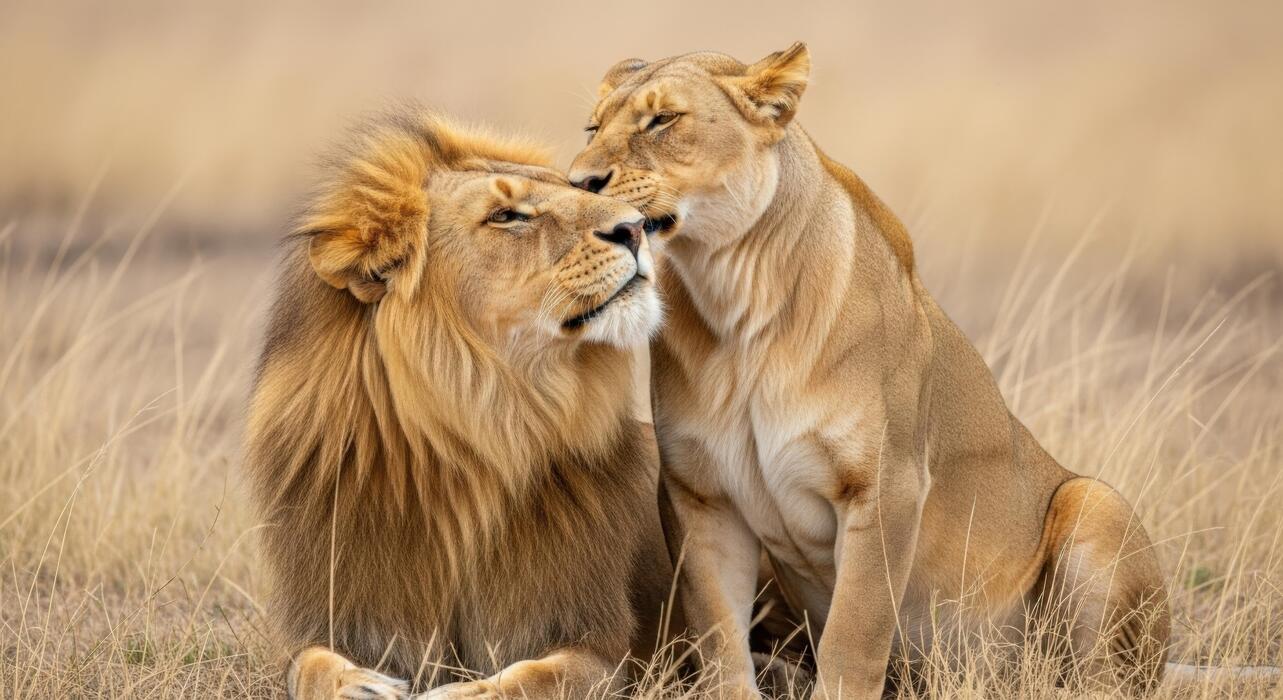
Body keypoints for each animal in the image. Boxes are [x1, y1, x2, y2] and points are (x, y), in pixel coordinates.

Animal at [244, 108, 673, 699]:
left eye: (575, 188)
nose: (636, 227)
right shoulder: (334, 615)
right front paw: (360, 686)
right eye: (506, 216)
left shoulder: (603, 648)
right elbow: (309, 665)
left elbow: (534, 677)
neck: (473, 436)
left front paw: (457, 693)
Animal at [569, 44, 1171, 697]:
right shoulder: (700, 494)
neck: (734, 300)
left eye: (662, 120)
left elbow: (854, 635)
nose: (580, 184)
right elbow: (719, 637)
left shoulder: (886, 485)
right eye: (592, 129)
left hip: (1095, 502)